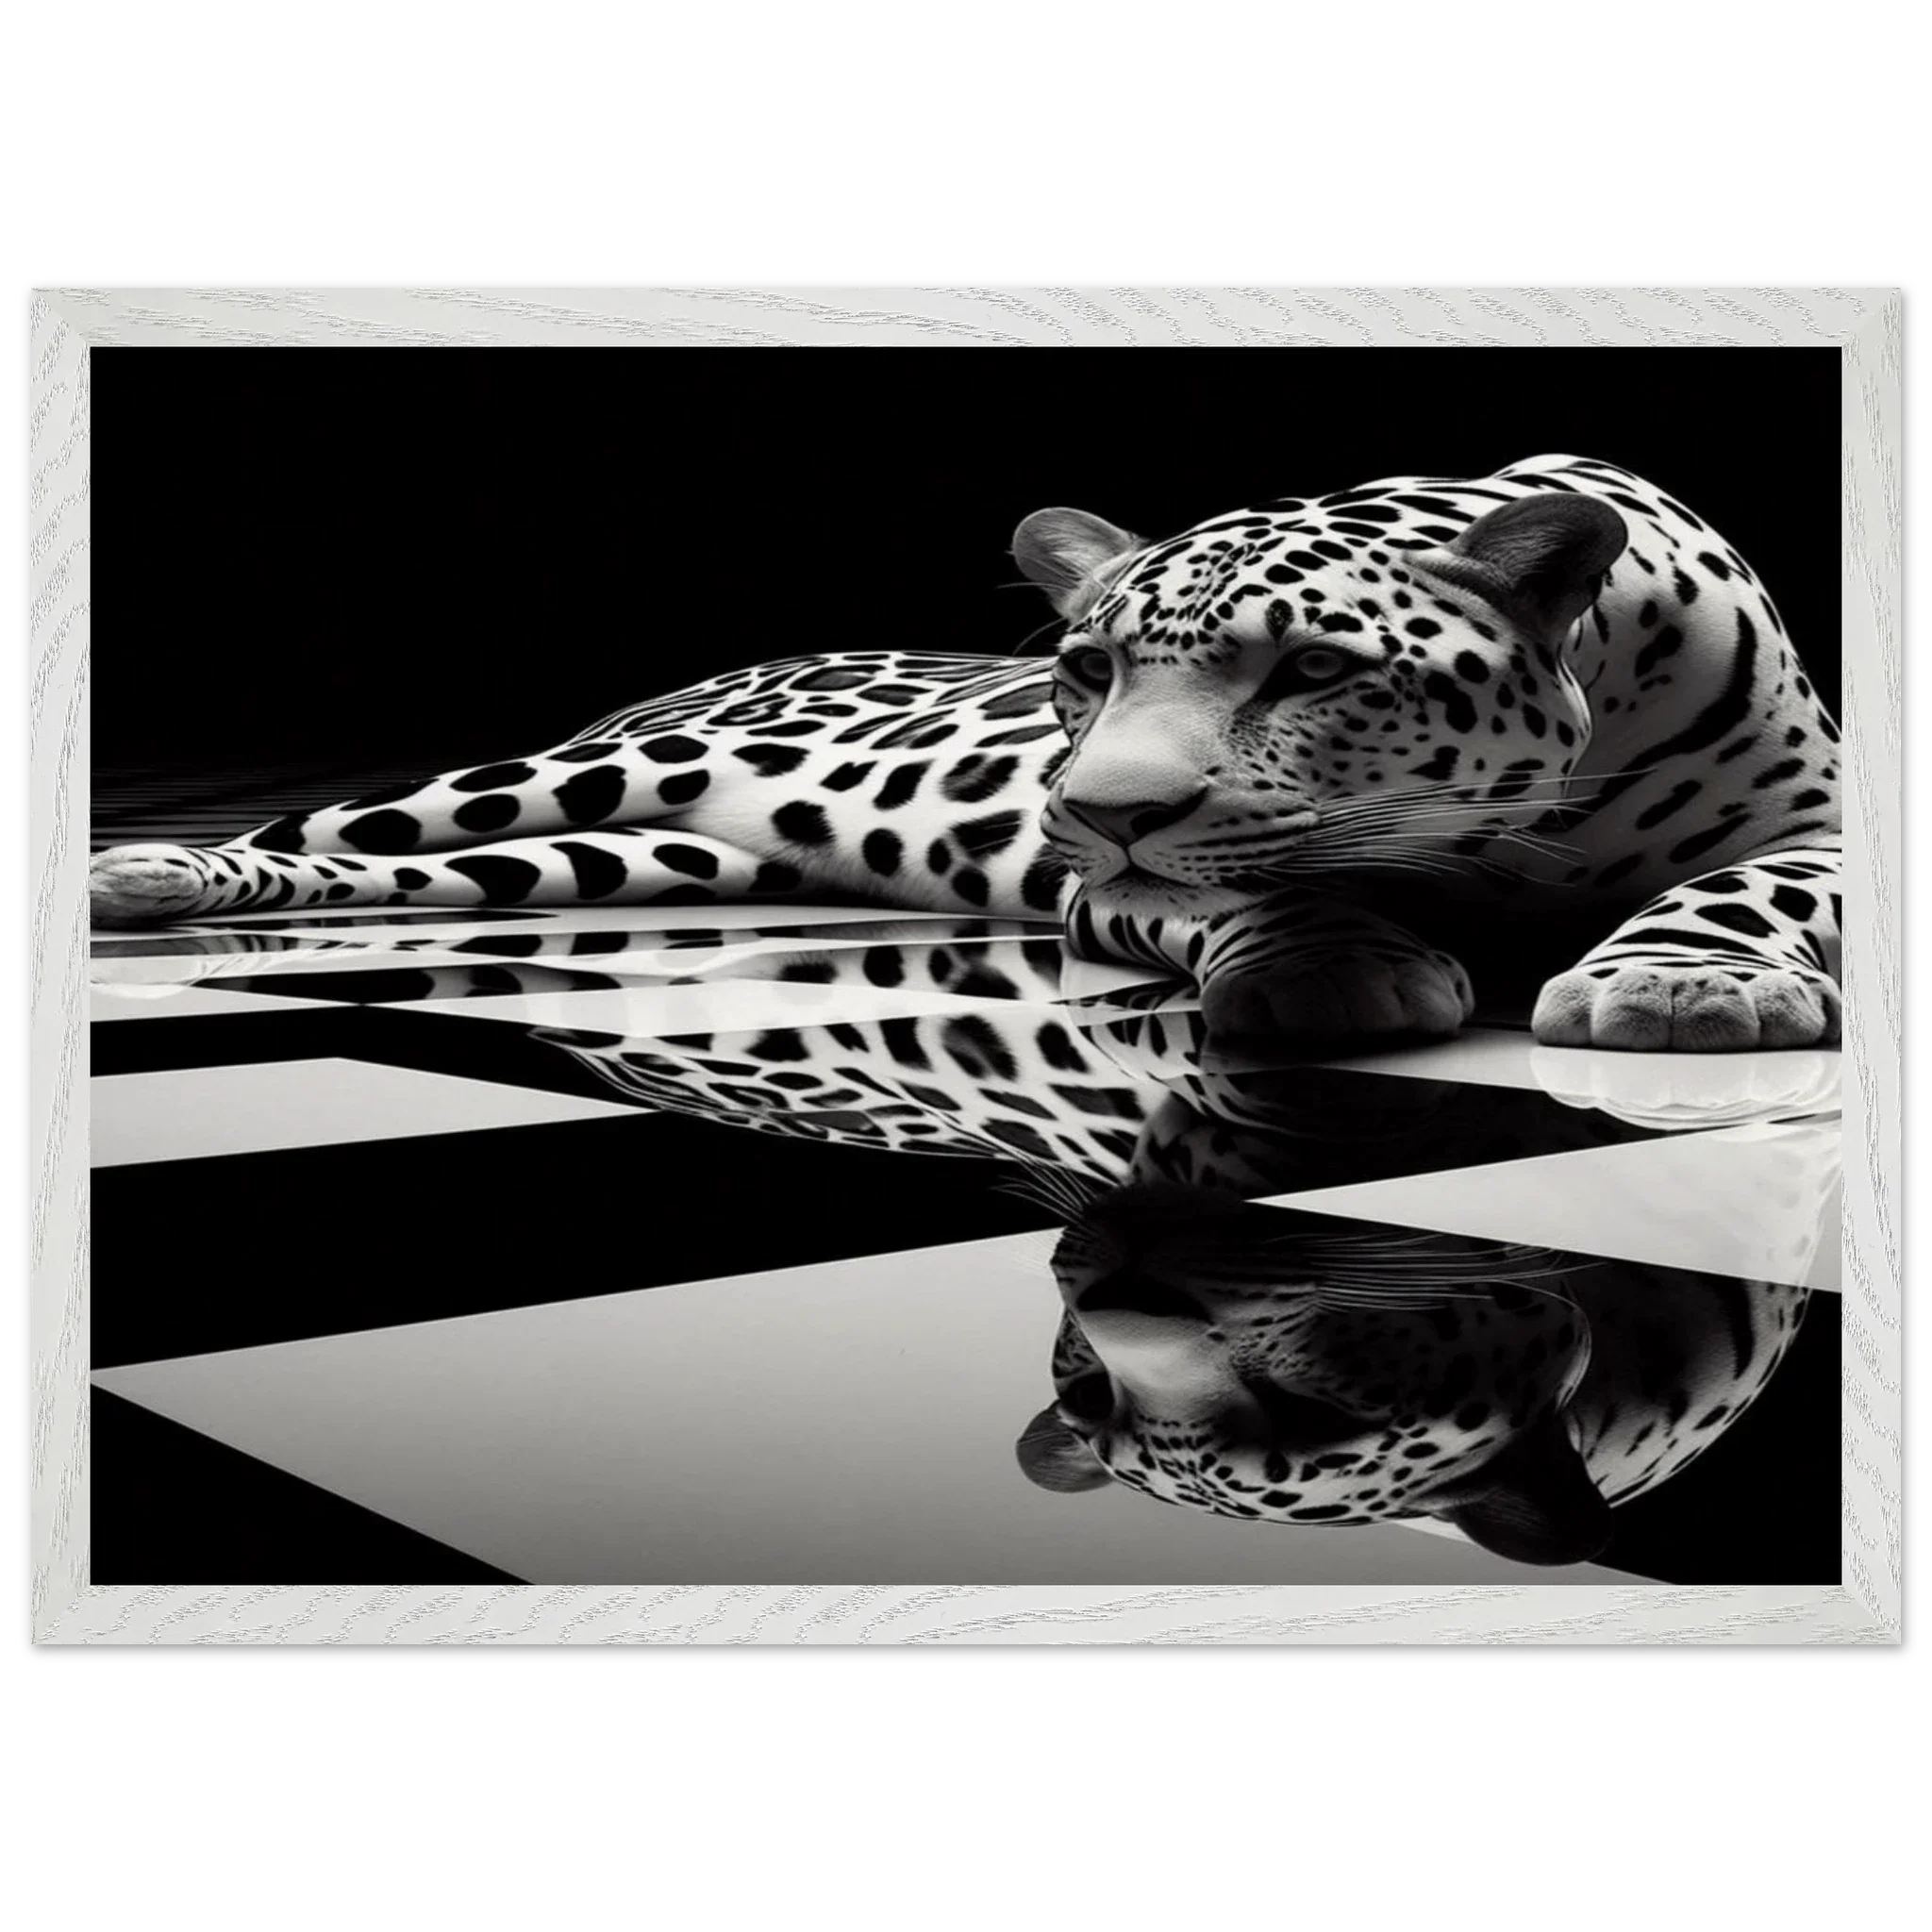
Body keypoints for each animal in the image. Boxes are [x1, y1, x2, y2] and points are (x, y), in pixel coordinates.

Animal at [88, 454, 1844, 1053]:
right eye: (1085, 669)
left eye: (1315, 669)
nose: (1095, 809)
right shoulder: (1111, 891)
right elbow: (1254, 889)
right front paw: (1331, 966)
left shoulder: (1826, 827)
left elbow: (1747, 890)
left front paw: (1677, 985)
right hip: (568, 780)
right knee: (337, 826)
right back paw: (150, 873)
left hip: (629, 856)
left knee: (440, 871)